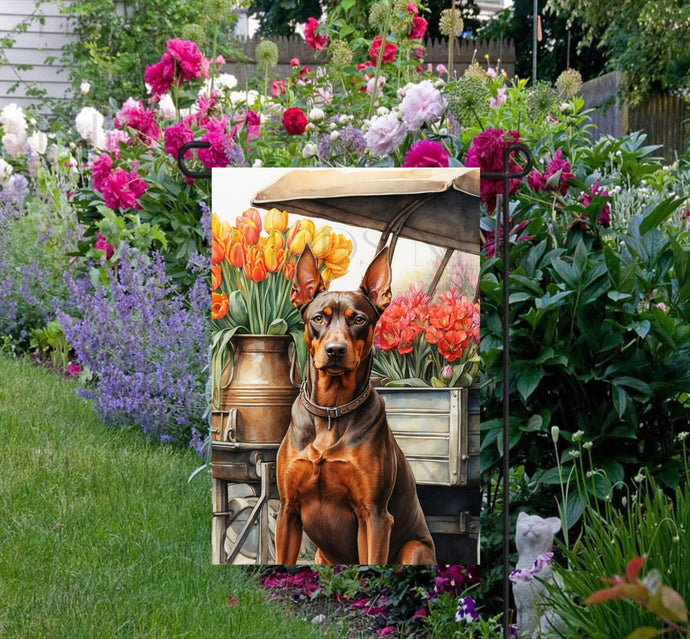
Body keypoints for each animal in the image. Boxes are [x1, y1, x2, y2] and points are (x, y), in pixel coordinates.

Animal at [276, 245, 432, 564]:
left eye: (358, 319)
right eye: (318, 318)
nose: (335, 350)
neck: (331, 412)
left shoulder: (375, 515)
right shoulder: (287, 511)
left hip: (414, 549)